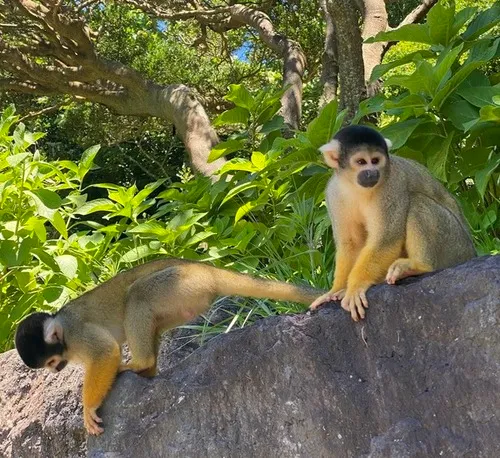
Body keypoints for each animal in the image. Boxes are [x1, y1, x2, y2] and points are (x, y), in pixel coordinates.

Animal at [15, 260, 324, 434]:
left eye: (51, 363)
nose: (55, 372)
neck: (65, 337)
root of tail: (203, 267)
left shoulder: (78, 334)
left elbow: (105, 352)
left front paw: (88, 408)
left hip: (178, 282)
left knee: (138, 295)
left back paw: (140, 363)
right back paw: (148, 369)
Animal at [308, 123, 476, 320]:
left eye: (375, 160)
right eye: (361, 162)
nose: (372, 173)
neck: (355, 186)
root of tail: (472, 253)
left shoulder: (392, 184)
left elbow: (386, 239)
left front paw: (355, 287)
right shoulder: (333, 192)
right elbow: (351, 243)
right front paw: (336, 291)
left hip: (456, 246)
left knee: (417, 201)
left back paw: (420, 266)